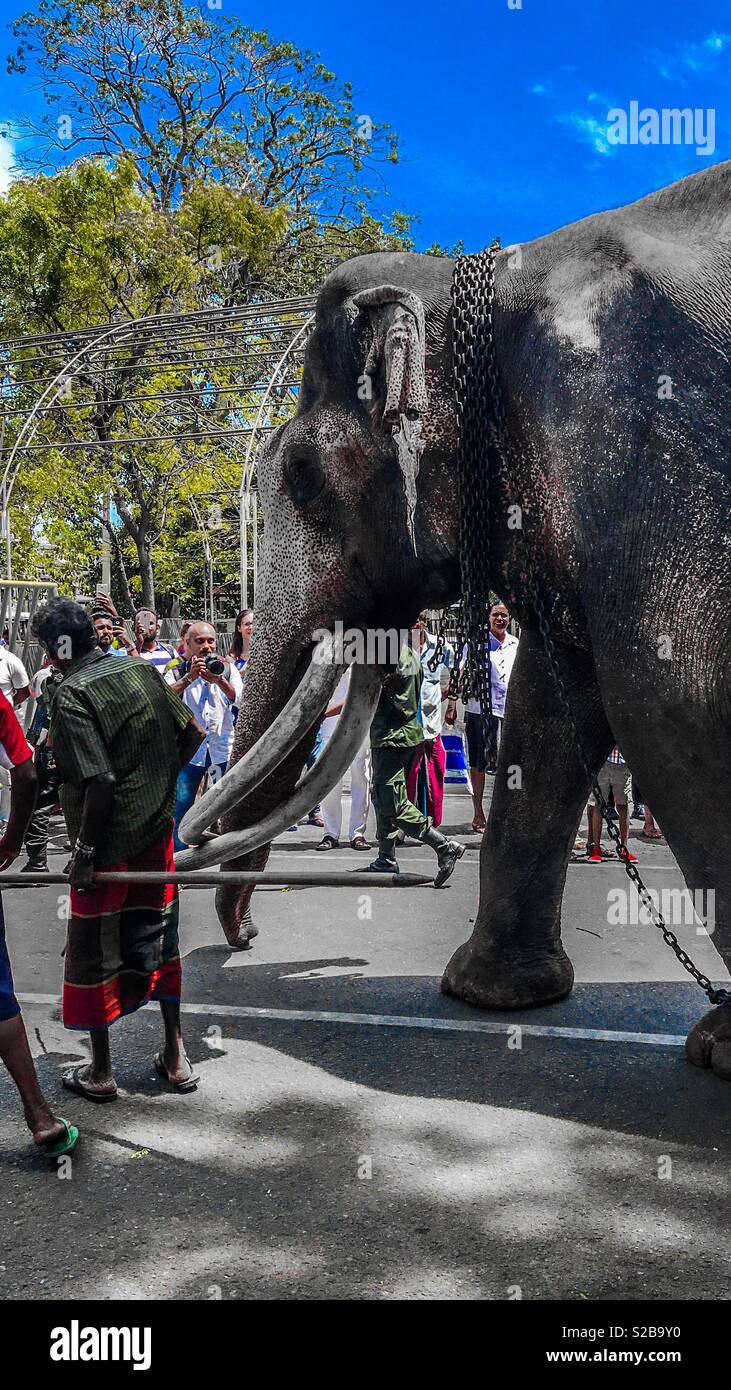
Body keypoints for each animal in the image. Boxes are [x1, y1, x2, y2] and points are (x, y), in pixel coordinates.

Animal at [177, 159, 731, 1073]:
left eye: (300, 477)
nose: (247, 936)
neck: (494, 278)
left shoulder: (646, 437)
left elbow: (674, 697)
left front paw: (719, 1049)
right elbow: (547, 713)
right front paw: (494, 994)